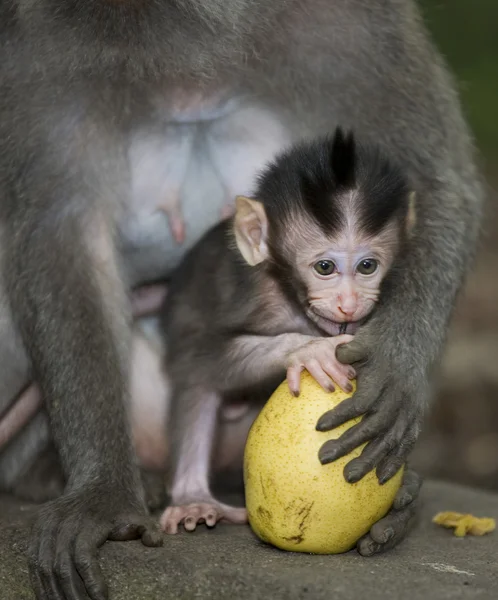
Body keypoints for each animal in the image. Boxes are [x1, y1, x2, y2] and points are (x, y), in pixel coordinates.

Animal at [160, 129, 416, 532]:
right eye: (325, 267)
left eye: (367, 266)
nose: (348, 303)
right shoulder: (256, 297)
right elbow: (197, 357)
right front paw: (308, 350)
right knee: (196, 381)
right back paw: (193, 498)